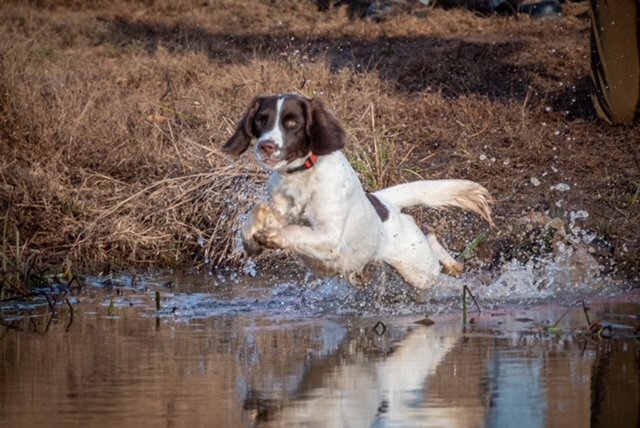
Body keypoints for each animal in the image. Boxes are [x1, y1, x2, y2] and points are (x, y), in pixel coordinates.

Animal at [222, 92, 492, 290]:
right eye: (261, 120)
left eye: (291, 122)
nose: (265, 146)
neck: (301, 176)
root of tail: (384, 201)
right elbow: (255, 216)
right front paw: (252, 237)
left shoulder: (329, 237)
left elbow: (296, 230)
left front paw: (274, 235)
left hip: (418, 269)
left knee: (433, 247)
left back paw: (453, 264)